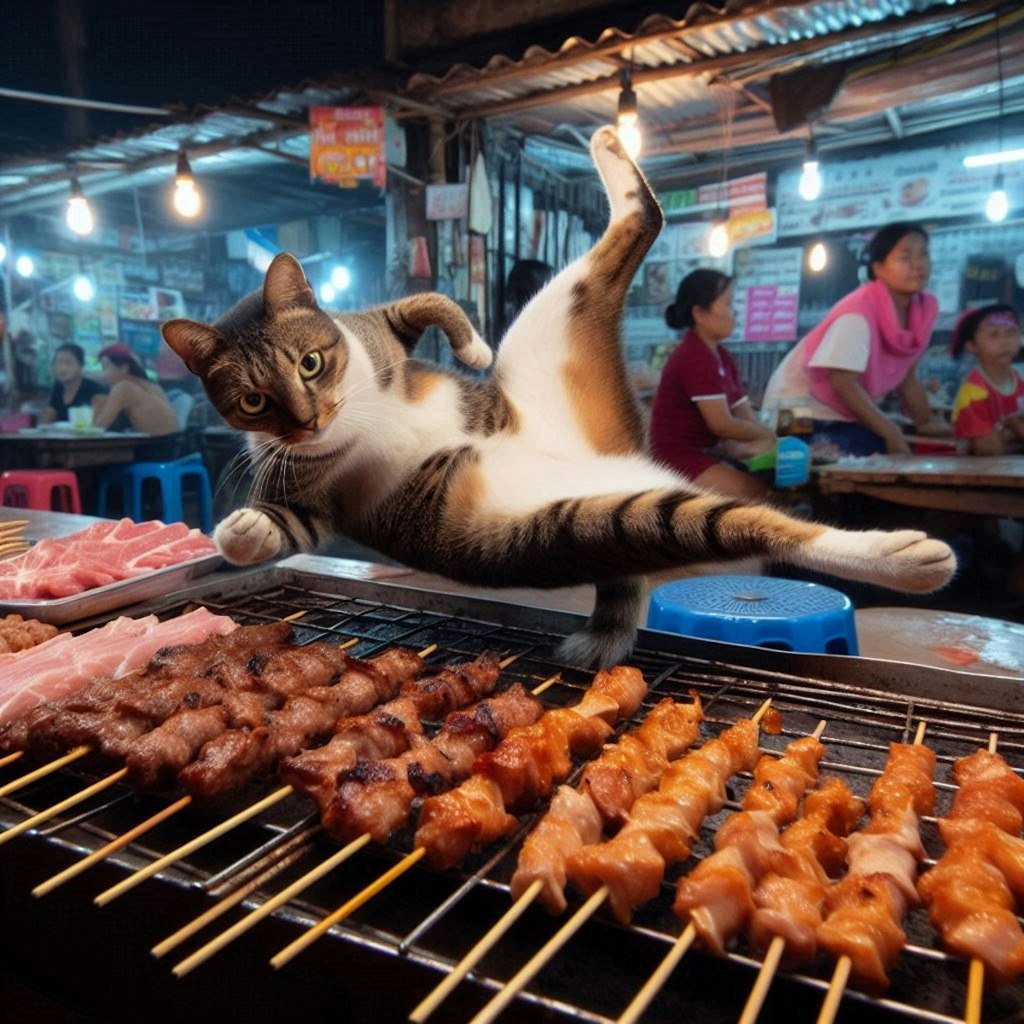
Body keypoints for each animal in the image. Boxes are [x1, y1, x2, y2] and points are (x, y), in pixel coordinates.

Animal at [161, 128, 958, 667]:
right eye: (254, 404)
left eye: (312, 362)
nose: (306, 419)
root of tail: (620, 451)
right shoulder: (322, 503)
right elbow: (287, 526)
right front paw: (240, 531)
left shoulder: (381, 328)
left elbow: (434, 306)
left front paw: (468, 349)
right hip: (599, 519)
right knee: (750, 527)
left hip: (544, 329)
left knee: (641, 222)